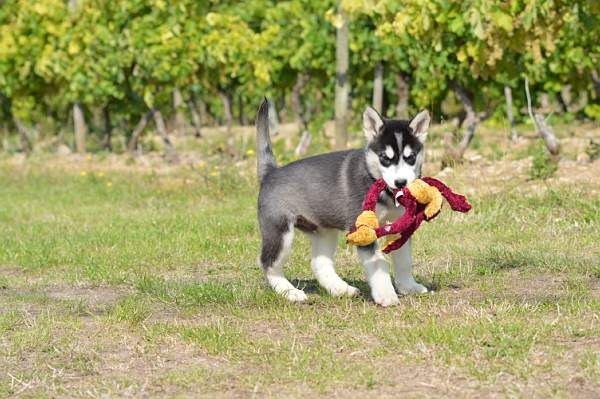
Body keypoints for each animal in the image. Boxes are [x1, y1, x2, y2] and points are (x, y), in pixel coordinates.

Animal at [255, 99, 428, 306]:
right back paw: (290, 292)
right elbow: (378, 262)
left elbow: (404, 259)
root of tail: (271, 172)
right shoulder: (362, 228)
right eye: (385, 158)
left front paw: (408, 286)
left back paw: (341, 289)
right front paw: (386, 295)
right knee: (268, 262)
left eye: (411, 157)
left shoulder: (400, 225)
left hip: (324, 231)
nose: (401, 182)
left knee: (319, 262)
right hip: (280, 232)